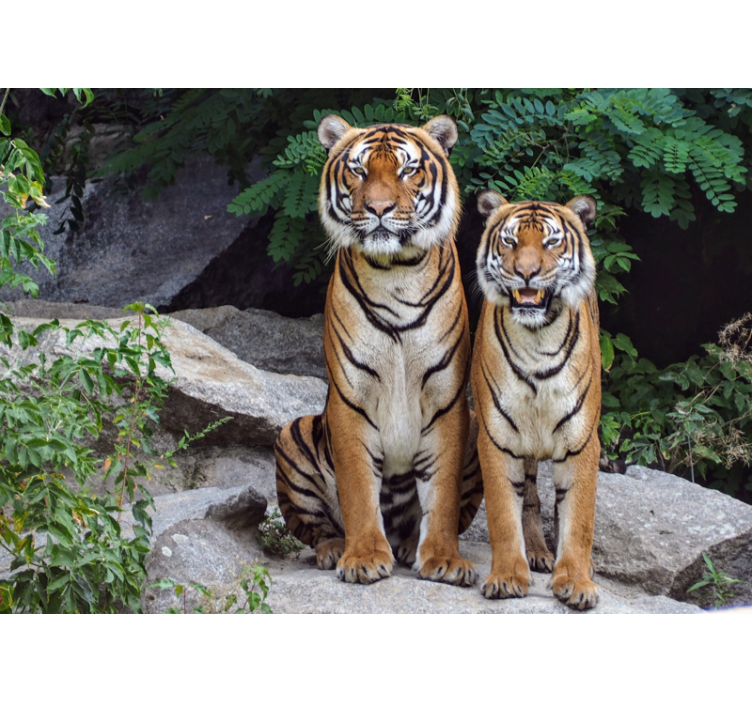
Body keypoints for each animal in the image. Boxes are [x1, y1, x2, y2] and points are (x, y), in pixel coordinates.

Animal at [274, 114, 484, 586]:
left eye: (407, 170)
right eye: (359, 170)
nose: (379, 209)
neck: (396, 272)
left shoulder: (447, 400)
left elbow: (441, 494)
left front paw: (443, 559)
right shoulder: (351, 398)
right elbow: (357, 488)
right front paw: (365, 557)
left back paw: (408, 546)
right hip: (292, 433)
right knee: (316, 529)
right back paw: (335, 549)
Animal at [470, 191, 602, 610]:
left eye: (551, 242)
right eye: (510, 242)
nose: (526, 272)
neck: (537, 340)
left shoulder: (582, 442)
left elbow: (578, 518)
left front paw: (576, 581)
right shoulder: (496, 438)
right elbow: (502, 513)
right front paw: (507, 576)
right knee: (528, 496)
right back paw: (537, 553)